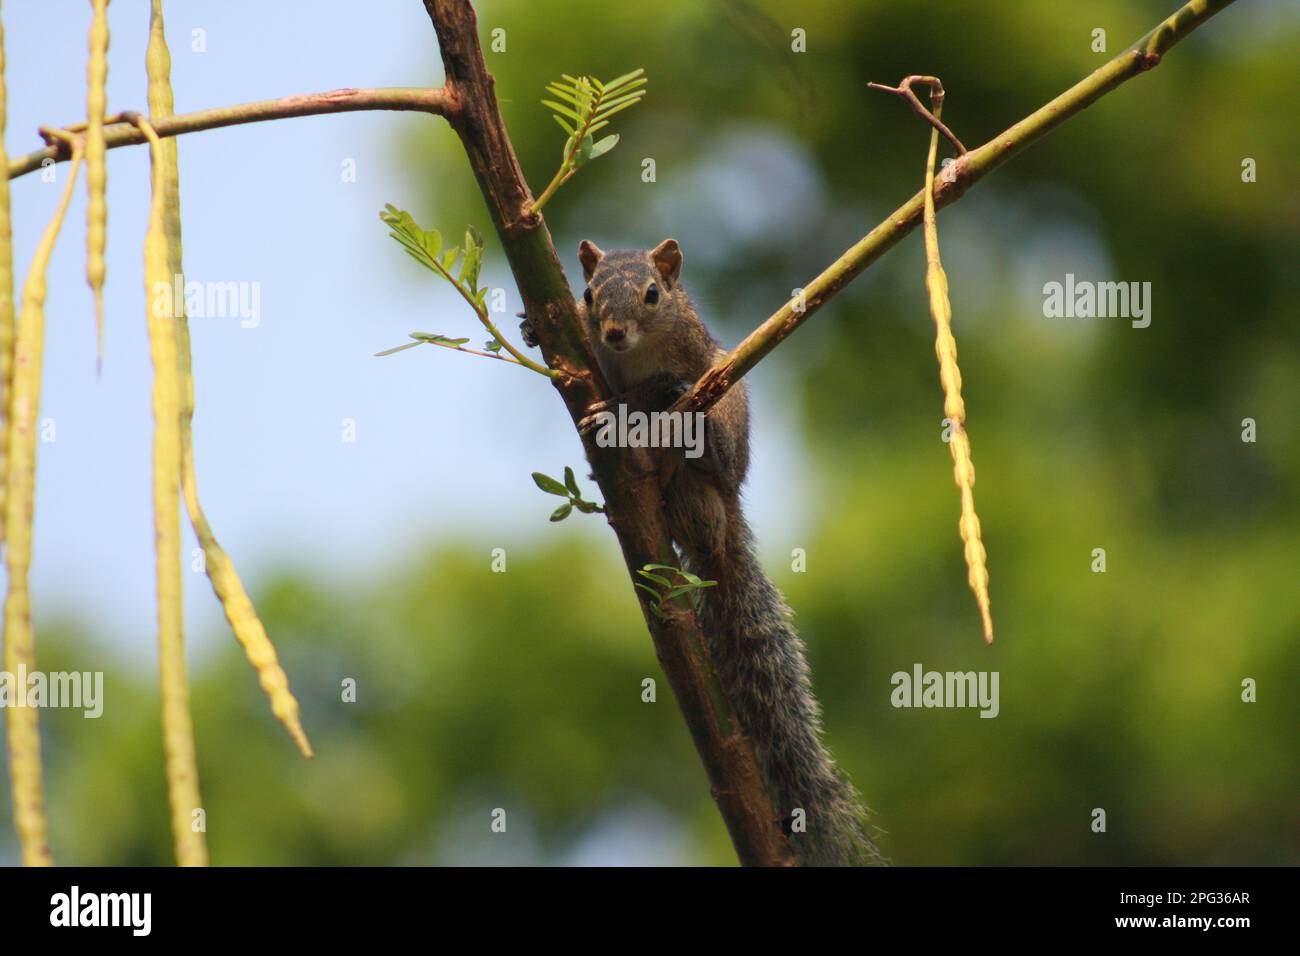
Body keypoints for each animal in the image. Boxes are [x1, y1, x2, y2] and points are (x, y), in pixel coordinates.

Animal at [543, 238, 881, 866]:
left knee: (707, 449)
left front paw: (618, 409)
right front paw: (533, 327)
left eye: (654, 293)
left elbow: (658, 387)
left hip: (712, 466)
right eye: (588, 295)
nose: (615, 332)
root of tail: (725, 521)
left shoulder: (687, 356)